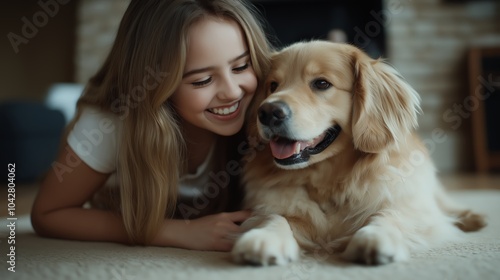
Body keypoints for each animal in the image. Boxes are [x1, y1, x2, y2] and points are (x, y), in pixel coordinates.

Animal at [232, 40, 486, 266]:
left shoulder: (409, 204)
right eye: (273, 85)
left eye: (321, 83)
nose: (267, 112)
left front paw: (375, 236)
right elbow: (274, 217)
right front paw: (264, 237)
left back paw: (472, 217)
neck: (328, 180)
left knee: (444, 203)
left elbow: (389, 214)